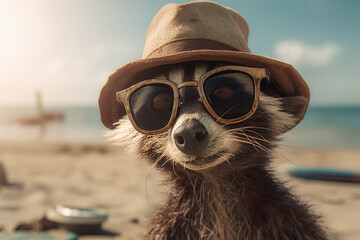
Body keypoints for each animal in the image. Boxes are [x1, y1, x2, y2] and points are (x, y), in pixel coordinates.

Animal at [107, 61, 330, 239]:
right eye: (161, 101)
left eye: (223, 92)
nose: (189, 133)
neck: (214, 183)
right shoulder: (167, 227)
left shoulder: (288, 220)